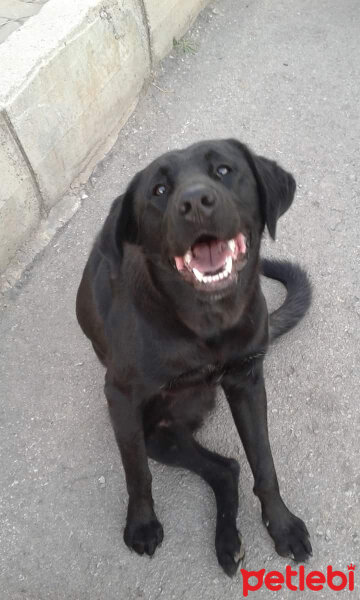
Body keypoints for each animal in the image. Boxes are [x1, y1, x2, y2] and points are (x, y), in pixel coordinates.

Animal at [76, 138, 312, 576]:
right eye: (159, 190)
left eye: (223, 170)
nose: (196, 203)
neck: (207, 322)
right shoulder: (120, 398)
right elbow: (136, 472)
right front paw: (141, 524)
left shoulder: (246, 381)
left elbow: (264, 463)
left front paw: (282, 525)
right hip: (156, 434)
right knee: (224, 469)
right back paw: (226, 541)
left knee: (229, 468)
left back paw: (227, 542)